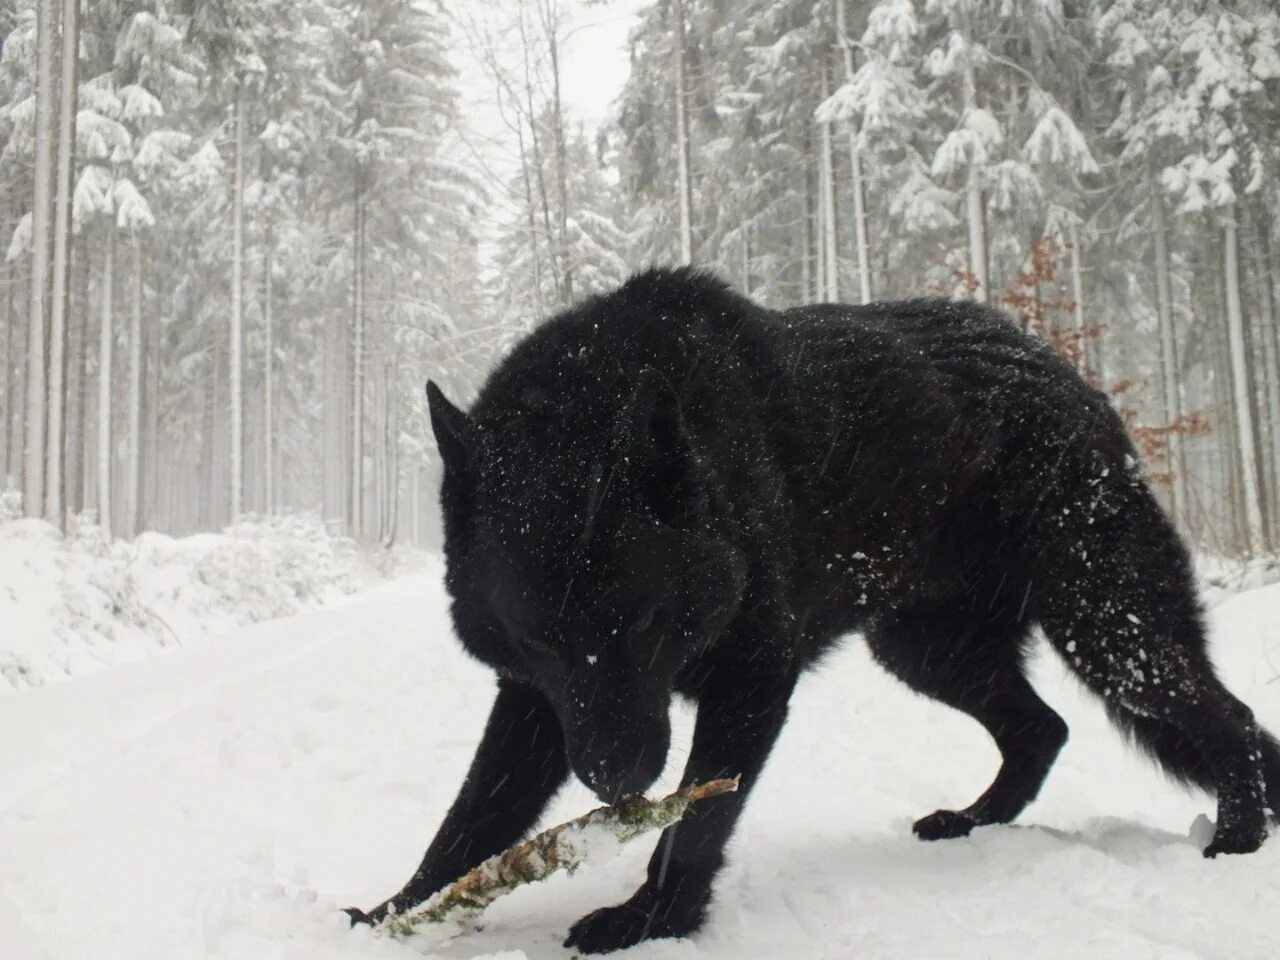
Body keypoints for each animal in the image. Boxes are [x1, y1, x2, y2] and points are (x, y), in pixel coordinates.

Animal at [348, 268, 1280, 957]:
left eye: (645, 622)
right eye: (540, 636)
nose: (616, 782)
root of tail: (1067, 374)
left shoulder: (752, 680)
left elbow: (695, 822)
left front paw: (650, 922)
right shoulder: (541, 700)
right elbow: (473, 815)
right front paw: (397, 912)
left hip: (1110, 632)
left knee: (1227, 717)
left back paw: (1236, 840)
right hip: (926, 650)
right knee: (1041, 730)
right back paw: (971, 823)